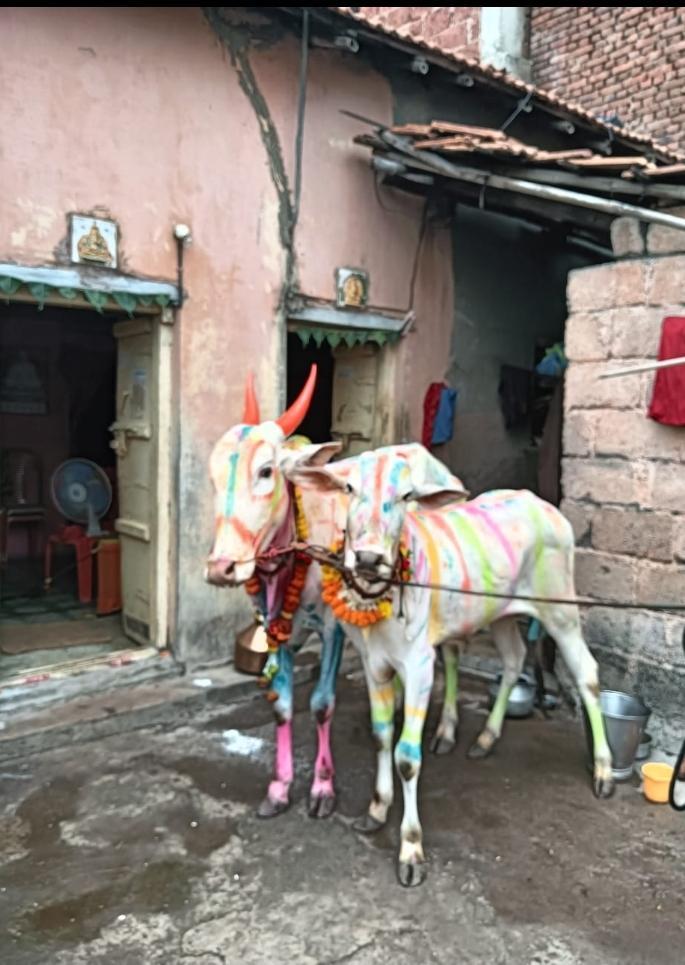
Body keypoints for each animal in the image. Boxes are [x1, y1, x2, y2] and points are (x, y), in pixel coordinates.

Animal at [288, 447, 615, 886]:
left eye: (407, 495)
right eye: (349, 487)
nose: (370, 558)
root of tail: (544, 506)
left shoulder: (420, 666)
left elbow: (407, 757)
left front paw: (411, 849)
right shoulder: (375, 665)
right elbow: (381, 737)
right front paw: (376, 809)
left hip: (560, 609)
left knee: (587, 674)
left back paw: (603, 771)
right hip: (501, 614)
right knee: (513, 659)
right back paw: (486, 739)